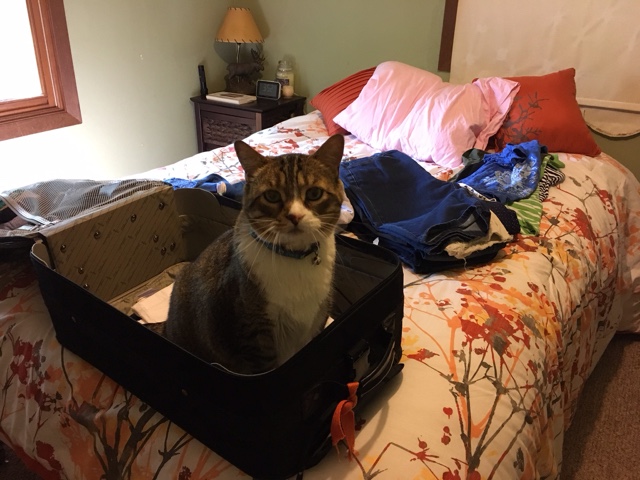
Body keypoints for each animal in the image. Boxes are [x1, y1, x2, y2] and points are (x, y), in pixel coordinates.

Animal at [164, 134, 345, 374]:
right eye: (272, 196)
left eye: (314, 193)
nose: (295, 216)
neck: (294, 258)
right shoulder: (255, 331)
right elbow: (265, 365)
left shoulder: (318, 318)